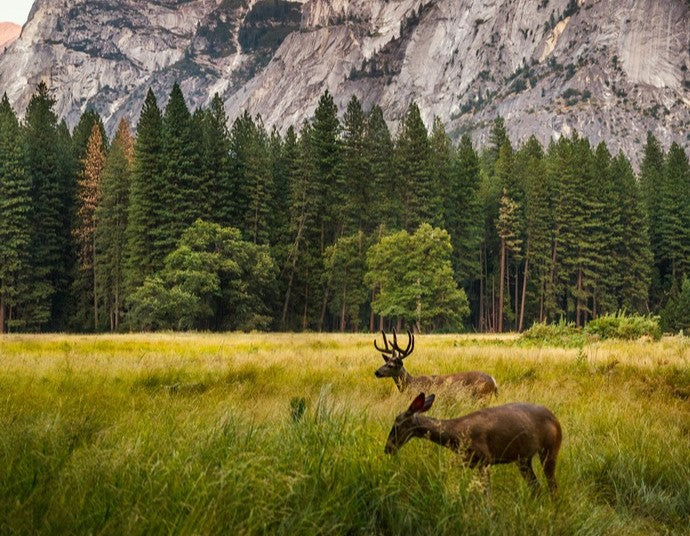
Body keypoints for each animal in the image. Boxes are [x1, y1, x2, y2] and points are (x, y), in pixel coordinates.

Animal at [382, 394, 560, 494]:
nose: (387, 448)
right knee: (536, 487)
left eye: (397, 424)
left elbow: (486, 496)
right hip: (523, 459)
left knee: (552, 486)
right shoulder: (468, 461)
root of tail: (555, 419)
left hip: (550, 449)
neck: (456, 434)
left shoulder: (485, 459)